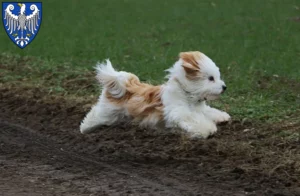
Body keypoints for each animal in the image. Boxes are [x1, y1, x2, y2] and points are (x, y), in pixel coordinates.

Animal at [79, 51, 230, 139]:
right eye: (211, 78)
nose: (224, 87)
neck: (187, 95)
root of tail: (125, 83)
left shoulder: (201, 109)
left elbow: (209, 112)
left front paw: (222, 117)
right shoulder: (179, 112)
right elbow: (193, 119)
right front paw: (208, 129)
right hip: (108, 111)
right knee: (95, 115)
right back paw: (84, 128)